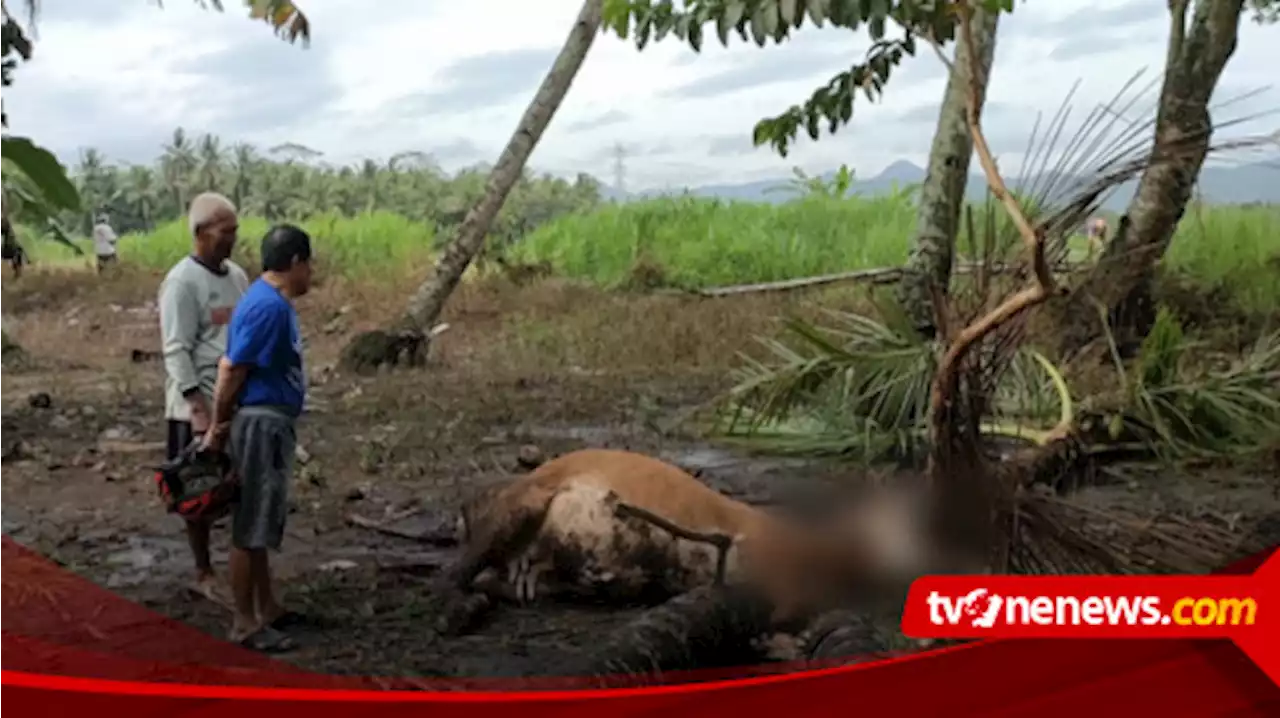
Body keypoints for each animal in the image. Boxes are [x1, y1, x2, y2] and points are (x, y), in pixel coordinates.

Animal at [450, 447, 942, 627]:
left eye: (918, 523)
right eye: (877, 523)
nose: (911, 564)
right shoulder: (779, 591)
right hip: (516, 508)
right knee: (463, 573)